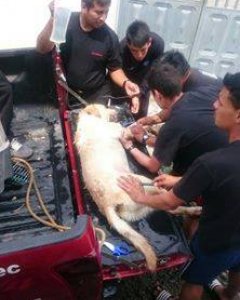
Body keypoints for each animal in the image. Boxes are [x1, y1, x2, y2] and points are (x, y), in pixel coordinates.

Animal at [75, 104, 158, 270]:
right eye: (105, 108)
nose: (119, 110)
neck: (88, 121)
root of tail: (107, 206)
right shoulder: (120, 130)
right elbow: (132, 127)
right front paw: (143, 127)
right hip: (144, 183)